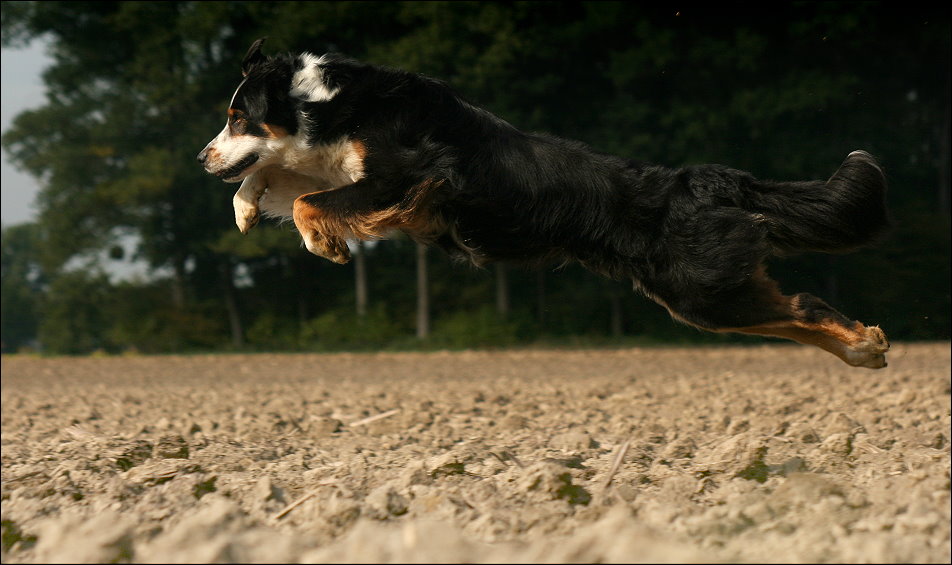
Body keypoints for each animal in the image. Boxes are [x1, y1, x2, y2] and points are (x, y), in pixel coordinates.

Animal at [199, 38, 892, 366]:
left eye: (236, 117)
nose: (202, 159)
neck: (331, 105)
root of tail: (698, 179)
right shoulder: (345, 167)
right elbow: (280, 178)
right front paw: (244, 207)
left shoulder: (407, 176)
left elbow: (310, 201)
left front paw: (326, 244)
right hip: (701, 294)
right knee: (792, 311)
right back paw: (862, 351)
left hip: (700, 289)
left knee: (801, 306)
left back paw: (868, 345)